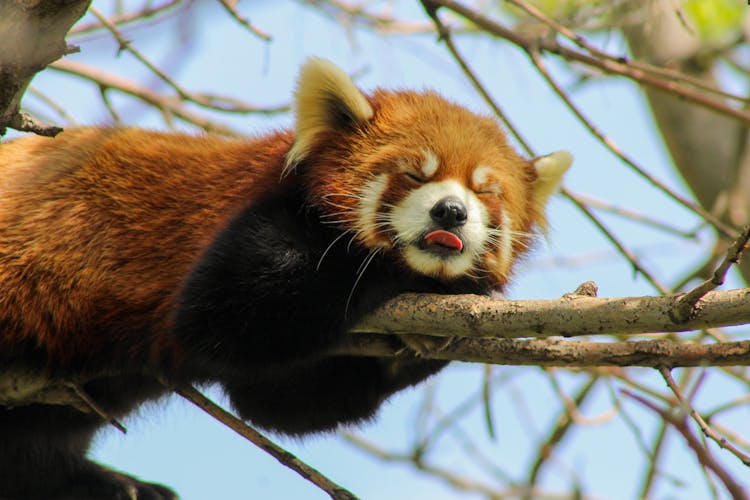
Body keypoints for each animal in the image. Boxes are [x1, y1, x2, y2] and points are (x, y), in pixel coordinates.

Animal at [0, 59, 568, 500]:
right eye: (414, 174)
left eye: (485, 191)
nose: (451, 212)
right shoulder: (246, 222)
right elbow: (225, 315)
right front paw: (418, 280)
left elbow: (281, 402)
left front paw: (423, 341)